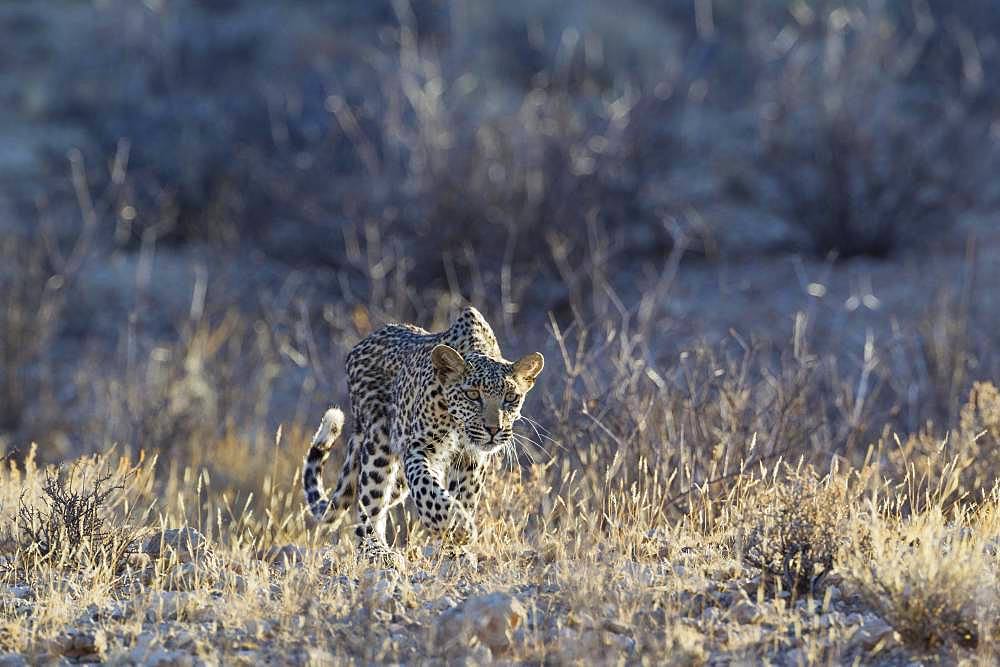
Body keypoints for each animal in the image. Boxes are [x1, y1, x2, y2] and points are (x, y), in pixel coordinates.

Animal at [300, 306, 544, 568]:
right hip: (378, 440)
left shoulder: (472, 458)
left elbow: (464, 494)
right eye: (472, 394)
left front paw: (454, 547)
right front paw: (458, 526)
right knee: (368, 500)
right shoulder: (420, 448)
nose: (493, 429)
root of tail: (358, 347)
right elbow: (428, 488)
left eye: (511, 397)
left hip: (398, 481)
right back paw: (376, 551)